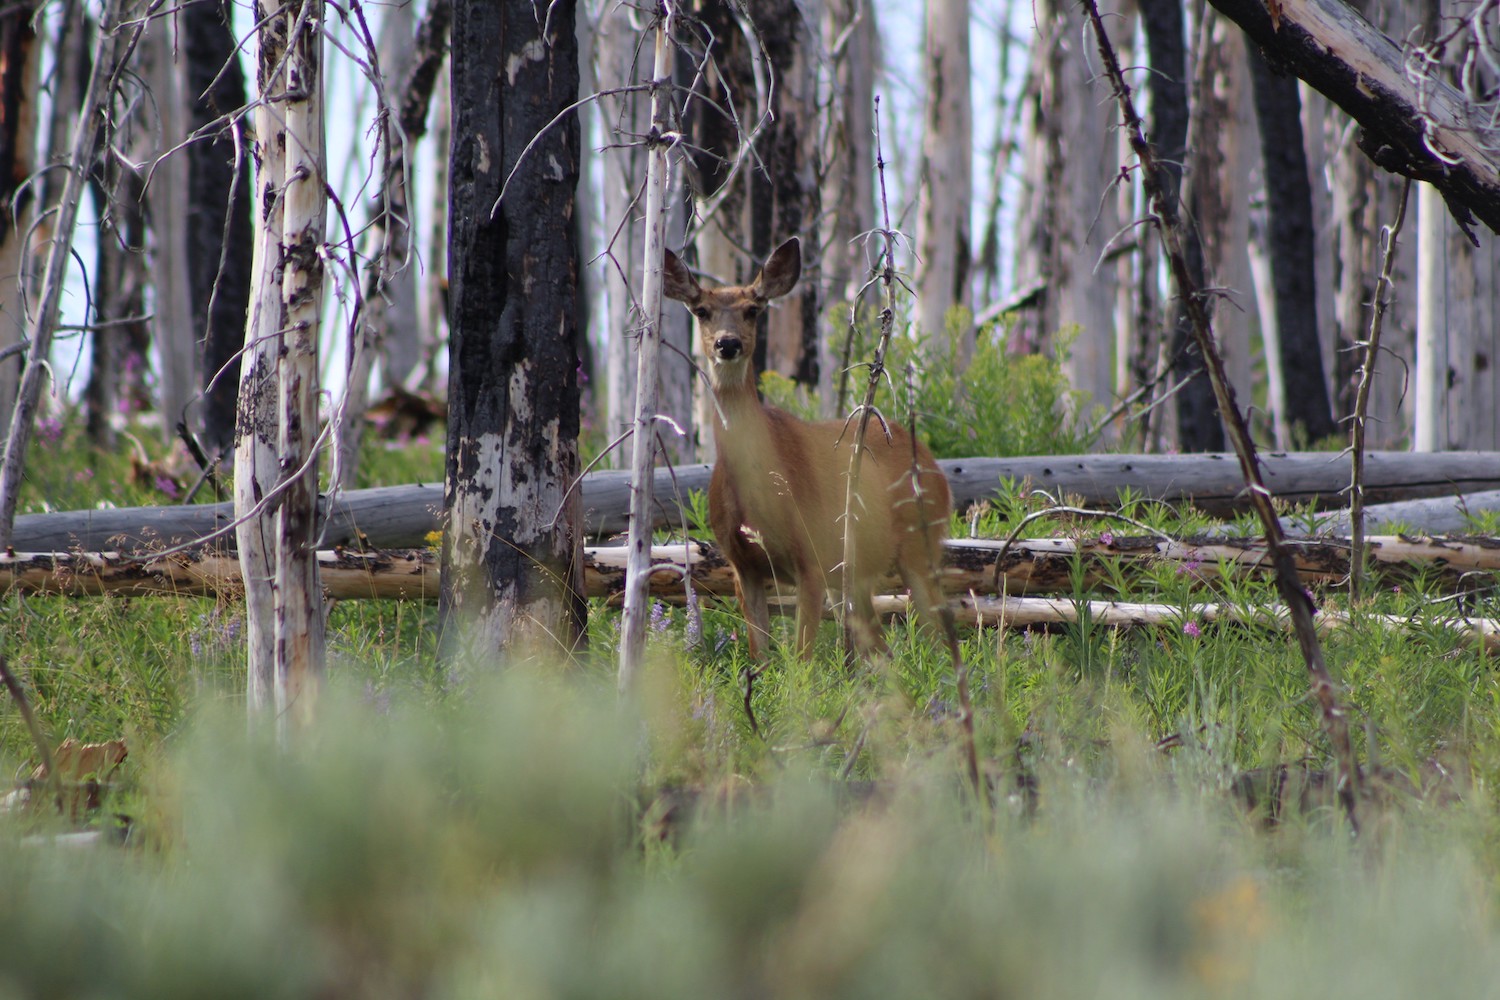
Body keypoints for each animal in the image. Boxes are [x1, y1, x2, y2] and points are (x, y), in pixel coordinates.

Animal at [666, 238, 954, 659]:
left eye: (753, 309)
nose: (728, 343)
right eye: (701, 310)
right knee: (882, 646)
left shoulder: (812, 558)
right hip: (859, 571)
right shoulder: (742, 565)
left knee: (940, 637)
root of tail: (932, 462)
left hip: (922, 541)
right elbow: (760, 657)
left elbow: (801, 659)